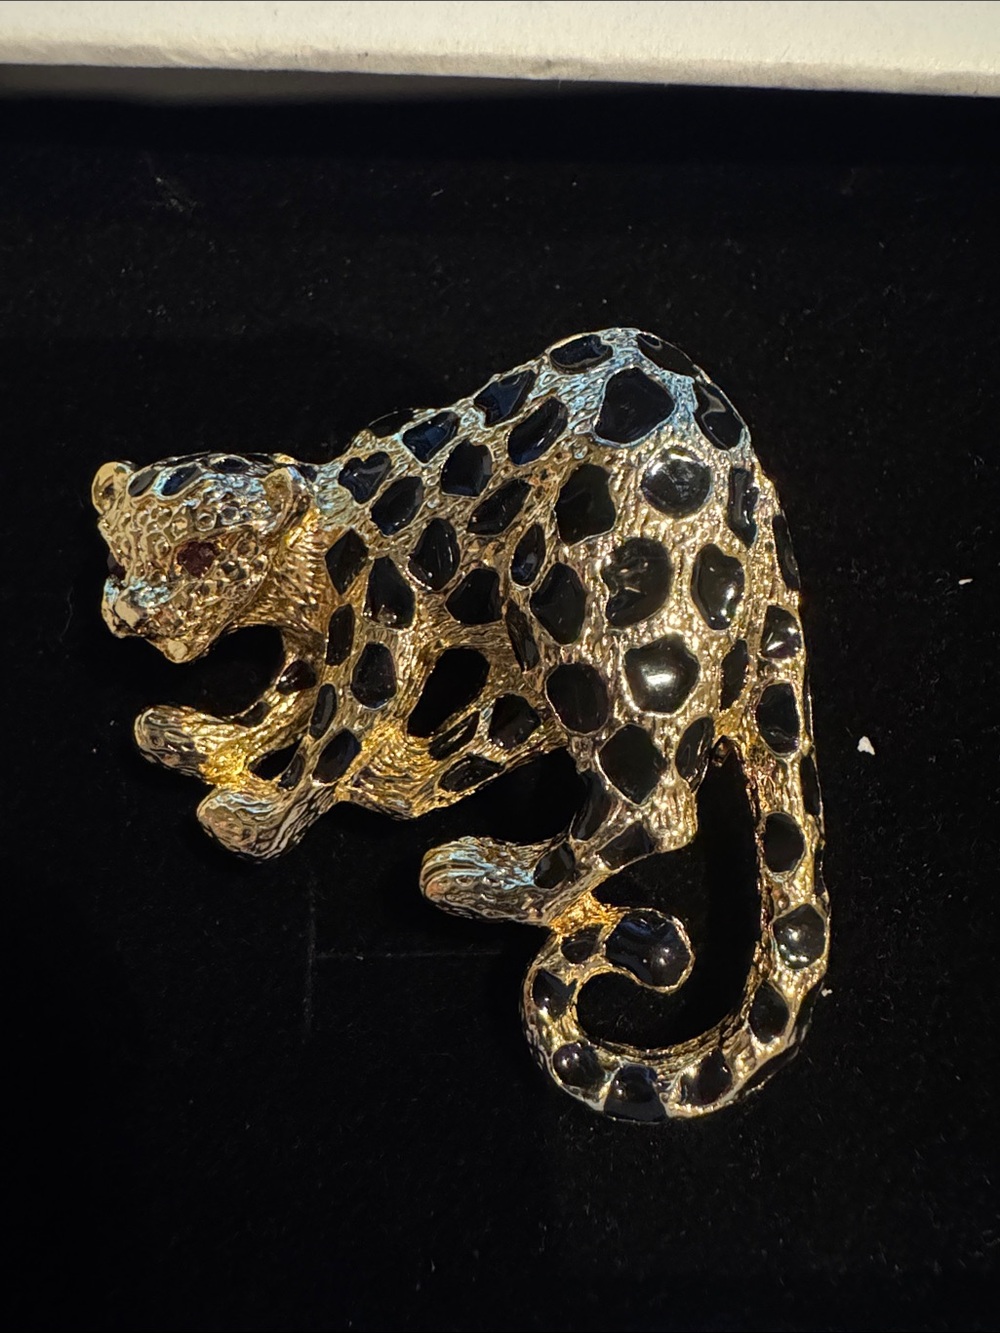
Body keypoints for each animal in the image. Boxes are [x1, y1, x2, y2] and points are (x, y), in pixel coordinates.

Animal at [93, 327, 828, 1122]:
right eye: (121, 551)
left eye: (199, 554)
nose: (128, 612)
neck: (306, 566)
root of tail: (764, 518)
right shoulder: (317, 640)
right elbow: (283, 699)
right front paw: (203, 739)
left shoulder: (383, 627)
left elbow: (330, 735)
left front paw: (260, 817)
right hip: (532, 636)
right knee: (506, 737)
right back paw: (402, 778)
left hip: (589, 609)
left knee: (651, 803)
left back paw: (486, 876)